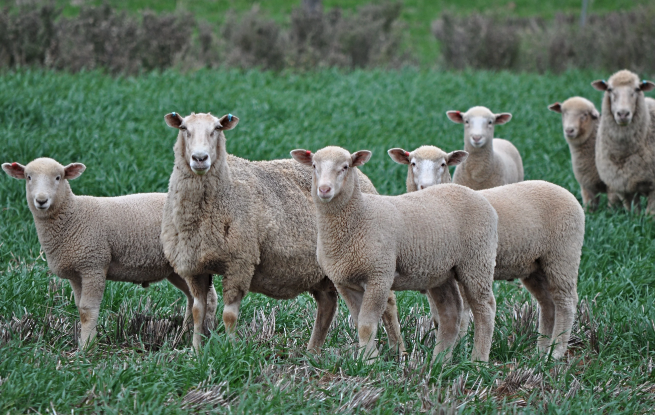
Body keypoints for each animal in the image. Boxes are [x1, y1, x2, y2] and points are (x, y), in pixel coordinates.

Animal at [1, 158, 218, 350]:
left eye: (58, 177)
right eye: (28, 177)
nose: (41, 200)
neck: (73, 214)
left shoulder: (93, 265)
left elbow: (87, 310)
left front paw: (87, 349)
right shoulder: (76, 273)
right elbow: (79, 307)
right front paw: (85, 343)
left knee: (207, 298)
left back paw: (203, 336)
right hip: (175, 269)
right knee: (194, 298)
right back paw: (184, 336)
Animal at [160, 111, 404, 354]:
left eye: (217, 129)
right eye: (184, 128)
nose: (200, 158)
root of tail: (362, 175)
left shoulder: (240, 262)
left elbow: (229, 315)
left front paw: (230, 351)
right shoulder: (194, 266)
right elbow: (198, 310)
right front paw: (196, 352)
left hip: (368, 259)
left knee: (388, 303)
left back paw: (397, 351)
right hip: (321, 271)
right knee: (327, 304)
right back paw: (312, 353)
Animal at [290, 146, 500, 364]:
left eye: (345, 167)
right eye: (314, 166)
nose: (324, 189)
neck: (359, 215)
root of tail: (476, 195)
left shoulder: (379, 276)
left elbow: (366, 325)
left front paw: (370, 362)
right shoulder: (344, 282)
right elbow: (358, 322)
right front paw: (366, 358)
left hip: (477, 261)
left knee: (485, 308)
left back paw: (478, 360)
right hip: (441, 272)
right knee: (451, 312)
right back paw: (439, 361)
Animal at [392, 145, 588, 358]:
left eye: (443, 164)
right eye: (413, 163)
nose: (426, 186)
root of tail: (565, 192)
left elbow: (462, 314)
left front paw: (458, 349)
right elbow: (438, 315)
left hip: (563, 254)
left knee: (566, 301)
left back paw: (556, 352)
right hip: (535, 265)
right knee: (548, 303)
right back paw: (541, 351)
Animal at [592, 68, 655, 214]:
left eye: (637, 89)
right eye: (609, 89)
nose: (623, 114)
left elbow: (650, 214)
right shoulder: (622, 185)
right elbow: (634, 213)